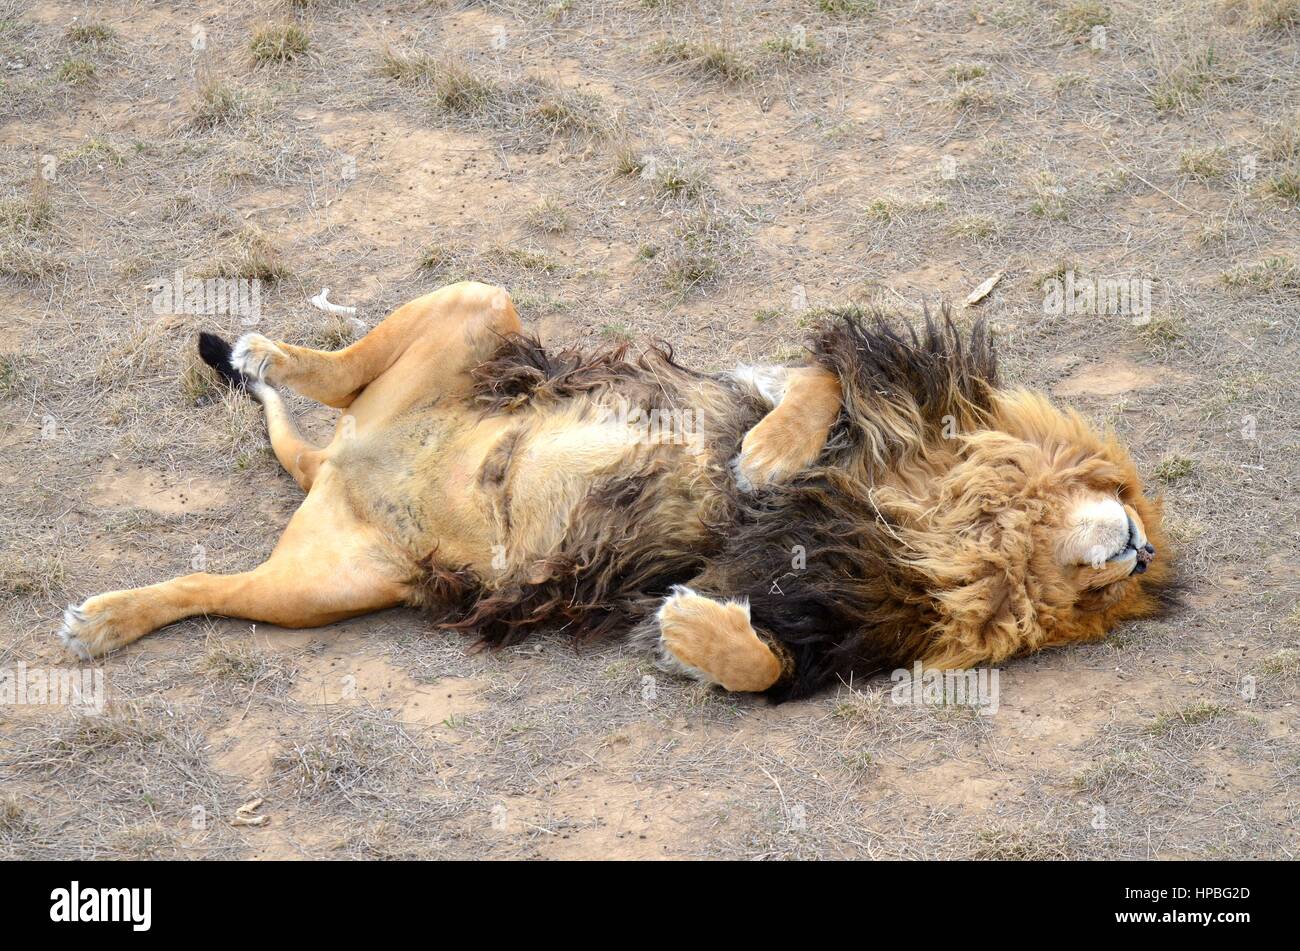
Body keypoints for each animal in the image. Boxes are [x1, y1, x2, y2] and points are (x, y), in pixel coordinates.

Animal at [58, 282, 1178, 699]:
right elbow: (816, 384)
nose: (1144, 551)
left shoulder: (838, 611)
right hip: (480, 307)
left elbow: (762, 663)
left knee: (208, 588)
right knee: (336, 369)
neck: (946, 520)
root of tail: (340, 466)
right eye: (1126, 487)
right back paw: (261, 350)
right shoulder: (851, 390)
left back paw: (107, 619)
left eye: (1106, 601)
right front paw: (767, 458)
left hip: (324, 588)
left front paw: (686, 631)